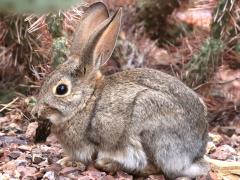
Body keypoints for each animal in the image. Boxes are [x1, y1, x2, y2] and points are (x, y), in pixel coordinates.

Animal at [31, 1, 209, 179]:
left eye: (61, 89)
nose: (35, 112)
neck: (87, 101)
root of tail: (192, 156)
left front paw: (70, 161)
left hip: (150, 128)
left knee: (155, 167)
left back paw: (109, 164)